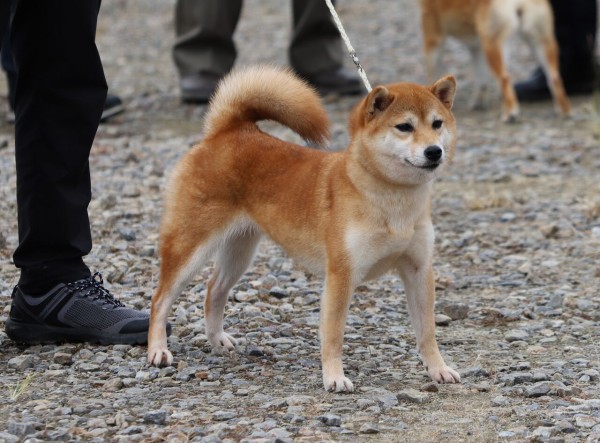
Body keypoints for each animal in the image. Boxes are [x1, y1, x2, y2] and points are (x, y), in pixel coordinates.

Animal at [148, 65, 462, 392]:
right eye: (404, 127)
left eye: (437, 123)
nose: (434, 151)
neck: (393, 201)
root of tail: (227, 131)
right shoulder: (341, 275)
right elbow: (334, 334)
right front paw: (334, 376)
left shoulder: (419, 269)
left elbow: (427, 332)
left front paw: (438, 369)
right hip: (190, 248)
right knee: (160, 300)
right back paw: (157, 350)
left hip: (239, 252)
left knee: (214, 291)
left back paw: (216, 339)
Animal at [420, 0, 568, 121]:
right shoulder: (476, 47)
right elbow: (481, 80)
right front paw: (478, 102)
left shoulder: (432, 33)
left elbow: (433, 73)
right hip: (542, 41)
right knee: (555, 78)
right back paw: (563, 111)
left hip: (494, 46)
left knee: (505, 79)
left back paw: (510, 114)